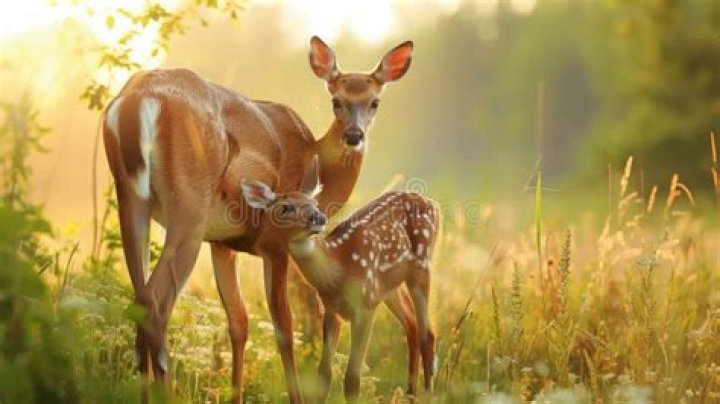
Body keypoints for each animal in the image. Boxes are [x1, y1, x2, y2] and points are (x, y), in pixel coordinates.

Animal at [102, 36, 413, 403]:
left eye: (374, 101)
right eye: (336, 100)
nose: (354, 136)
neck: (316, 163)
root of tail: (137, 102)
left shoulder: (222, 243)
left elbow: (239, 321)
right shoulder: (275, 242)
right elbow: (284, 328)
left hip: (130, 198)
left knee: (139, 298)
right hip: (189, 209)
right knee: (157, 303)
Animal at [241, 168, 439, 402]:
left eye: (315, 202)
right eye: (285, 207)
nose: (318, 217)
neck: (339, 271)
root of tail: (433, 204)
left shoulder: (365, 304)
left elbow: (352, 379)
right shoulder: (331, 310)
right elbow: (324, 375)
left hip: (422, 264)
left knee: (428, 334)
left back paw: (428, 393)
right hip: (389, 287)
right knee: (413, 326)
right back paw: (410, 395)